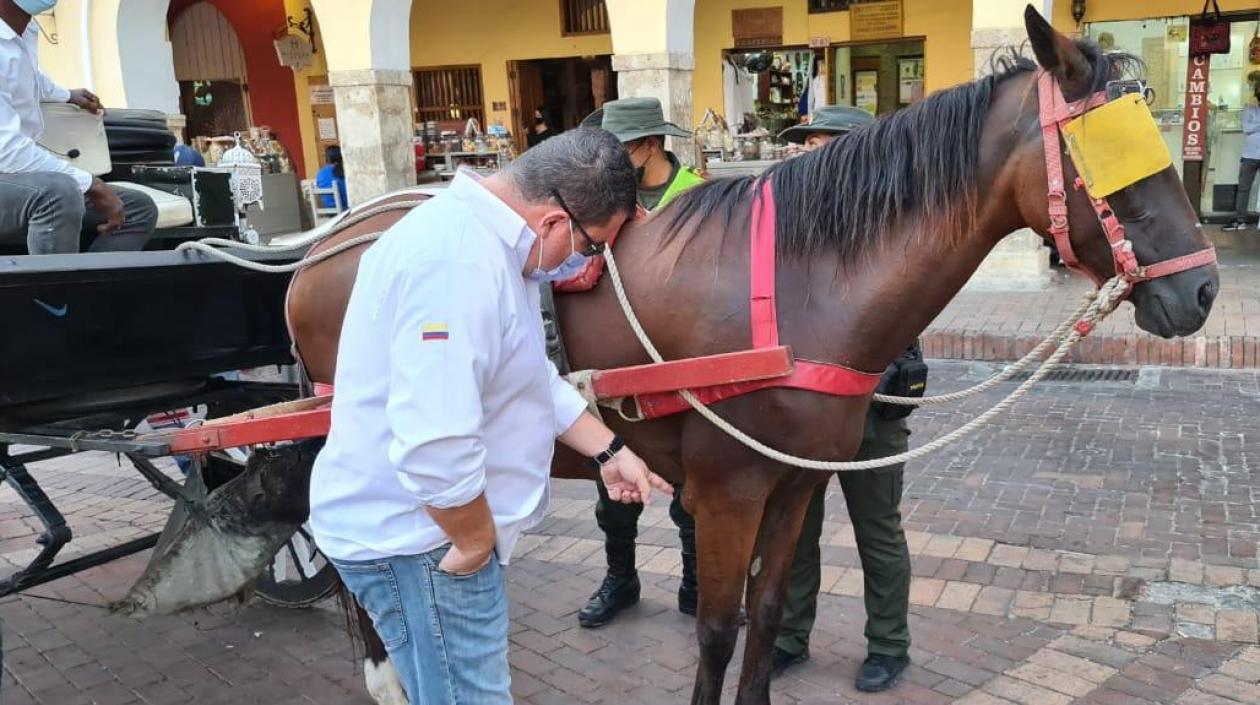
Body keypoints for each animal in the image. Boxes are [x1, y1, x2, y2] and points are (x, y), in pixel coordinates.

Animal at [282, 9, 1218, 705]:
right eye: (1116, 152)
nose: (1206, 289)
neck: (800, 289)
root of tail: (324, 248)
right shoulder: (730, 493)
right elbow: (718, 628)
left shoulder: (797, 485)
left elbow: (767, 615)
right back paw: (386, 671)